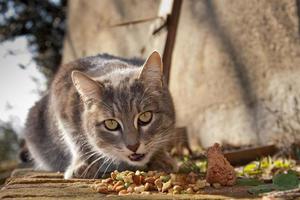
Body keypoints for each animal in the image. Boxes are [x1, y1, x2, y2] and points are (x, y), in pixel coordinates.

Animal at [25, 51, 178, 178]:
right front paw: (83, 164)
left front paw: (161, 157)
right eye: (111, 124)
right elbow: (75, 139)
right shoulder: (62, 105)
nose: (133, 146)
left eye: (145, 117)